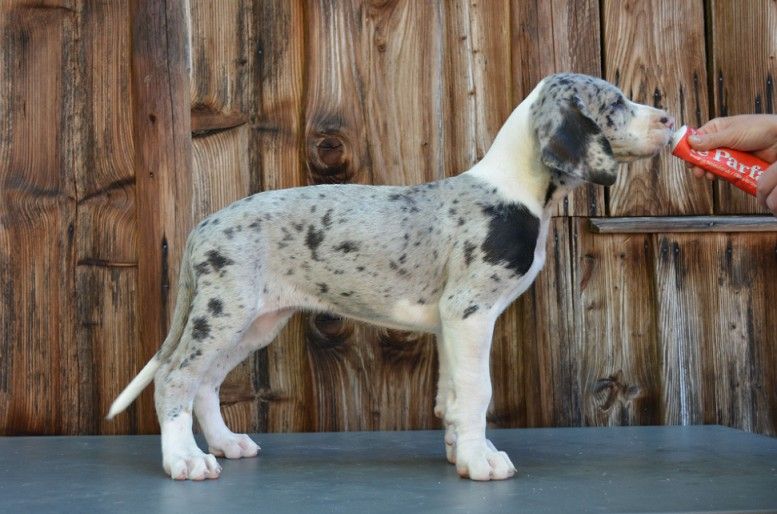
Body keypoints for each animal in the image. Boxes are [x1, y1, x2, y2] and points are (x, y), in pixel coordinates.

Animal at [108, 73, 674, 481]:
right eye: (616, 103)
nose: (669, 118)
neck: (515, 188)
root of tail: (203, 226)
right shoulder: (470, 312)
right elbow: (477, 392)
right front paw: (480, 461)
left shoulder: (451, 323)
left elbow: (452, 396)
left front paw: (461, 451)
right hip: (224, 313)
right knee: (175, 376)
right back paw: (185, 460)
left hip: (255, 323)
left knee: (204, 381)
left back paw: (225, 444)